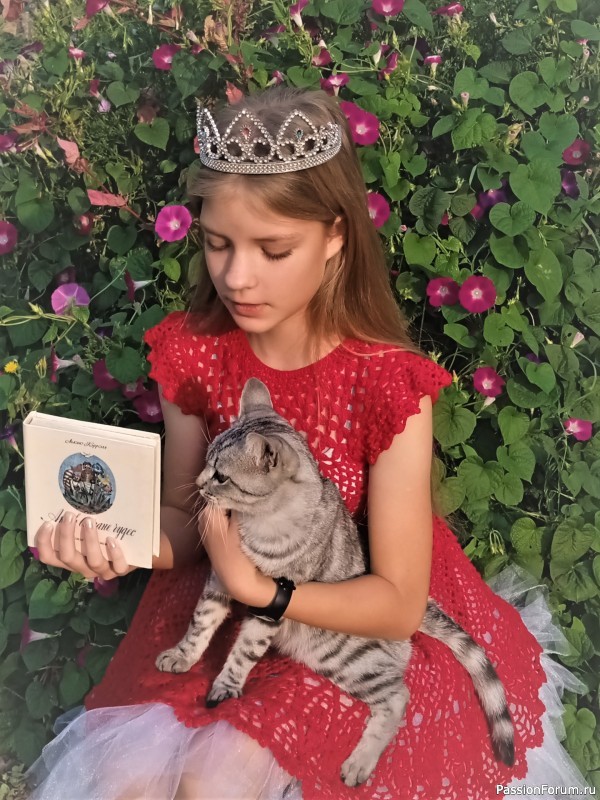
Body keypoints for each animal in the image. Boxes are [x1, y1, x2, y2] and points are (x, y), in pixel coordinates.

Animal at [156, 377, 515, 787]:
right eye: (206, 462)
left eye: (221, 476)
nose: (199, 484)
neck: (257, 523)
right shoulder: (220, 579)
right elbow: (200, 625)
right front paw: (182, 655)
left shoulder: (268, 603)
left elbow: (244, 651)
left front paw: (225, 686)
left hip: (346, 658)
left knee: (398, 696)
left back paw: (360, 763)